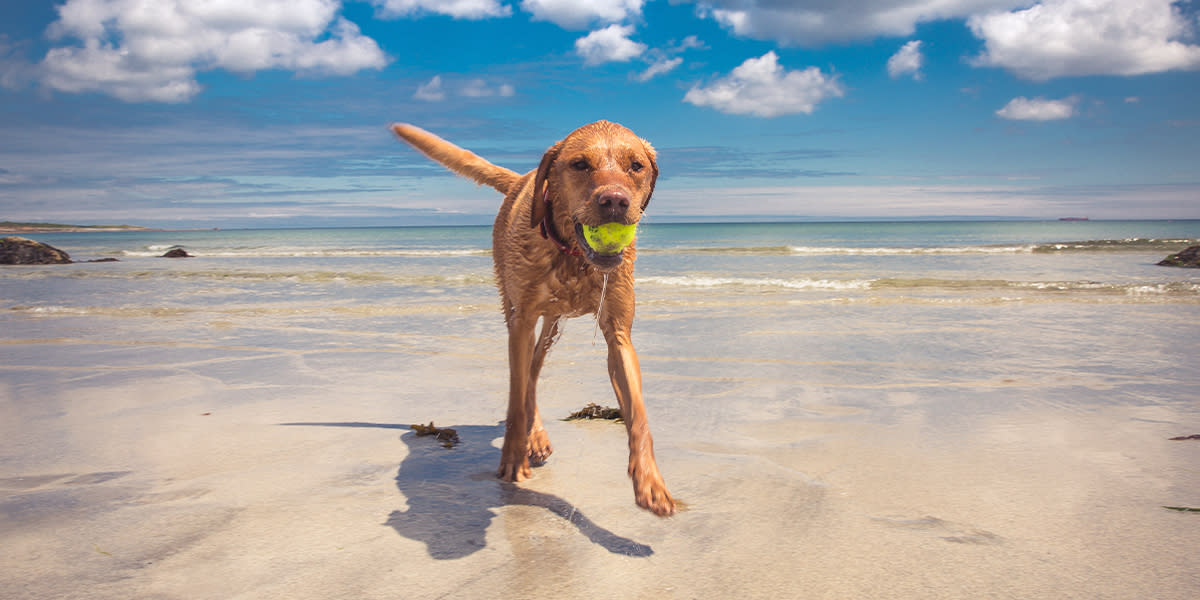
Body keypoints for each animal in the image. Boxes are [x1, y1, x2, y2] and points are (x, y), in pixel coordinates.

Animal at [393, 121, 676, 516]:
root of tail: (519, 179)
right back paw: (532, 436)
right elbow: (515, 397)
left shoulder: (618, 334)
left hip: (552, 326)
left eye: (636, 165)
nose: (615, 201)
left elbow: (638, 414)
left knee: (534, 371)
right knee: (524, 378)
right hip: (516, 312)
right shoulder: (522, 322)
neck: (572, 255)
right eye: (579, 164)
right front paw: (513, 457)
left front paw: (650, 481)